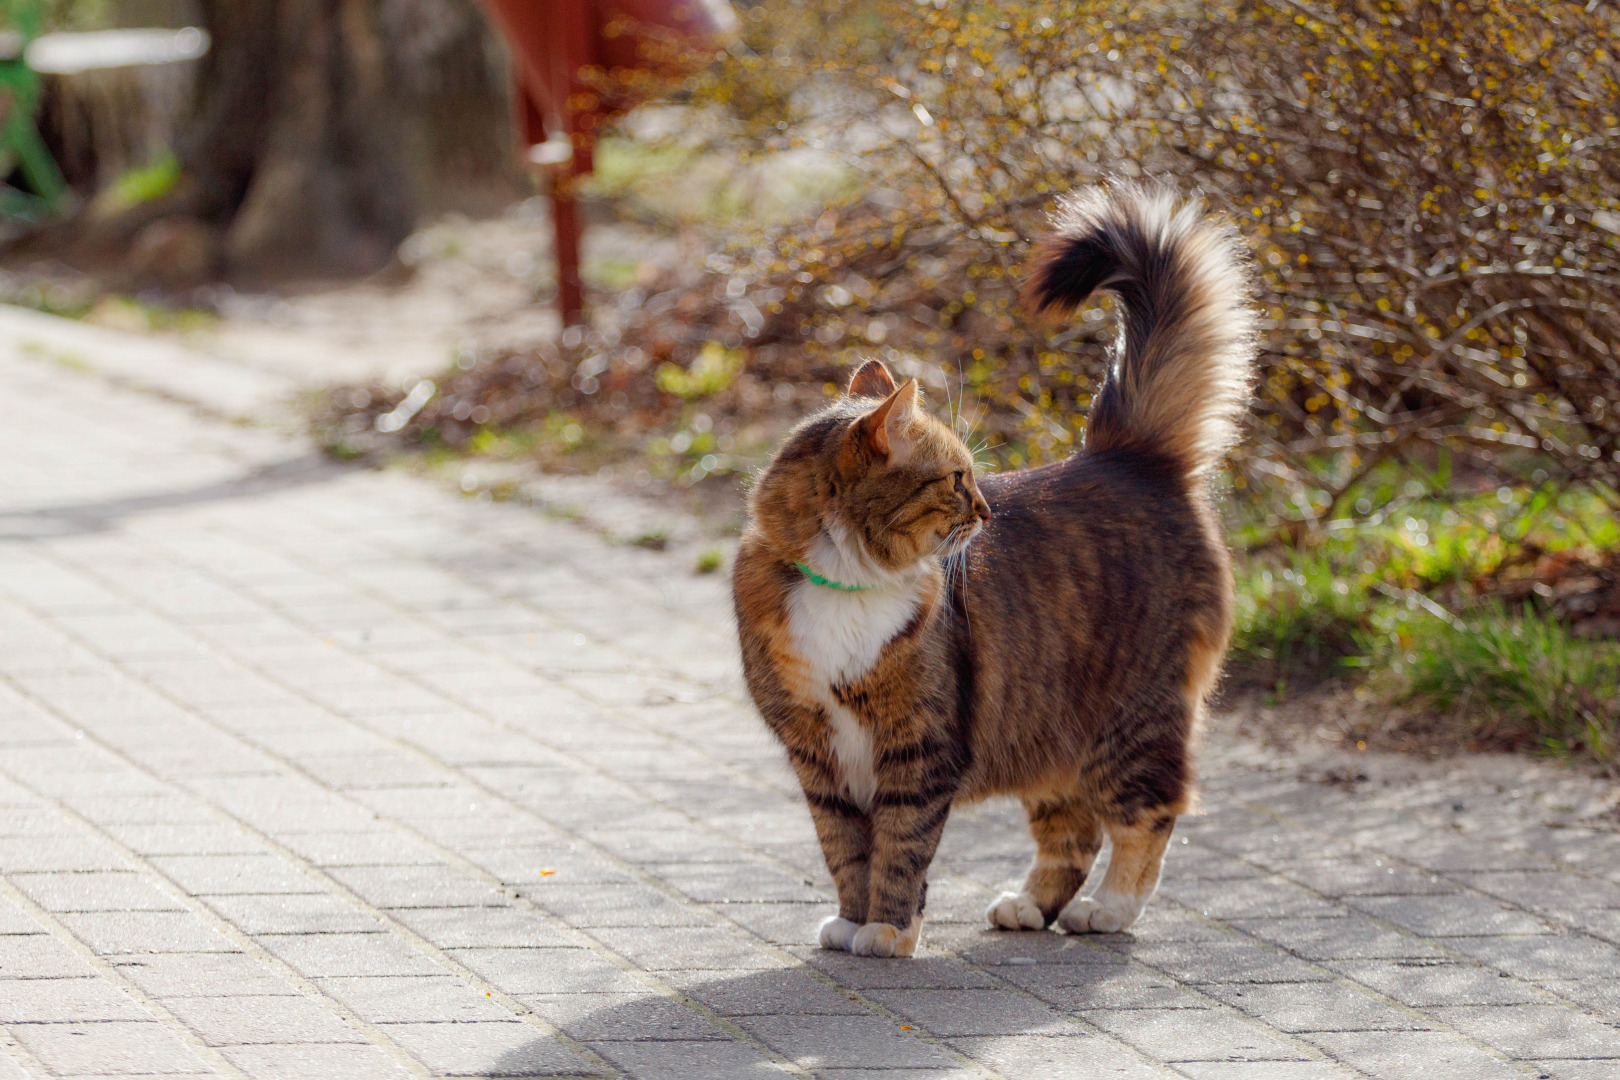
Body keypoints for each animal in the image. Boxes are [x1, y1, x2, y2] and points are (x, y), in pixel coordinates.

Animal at [732, 183, 1250, 952]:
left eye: (974, 476)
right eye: (955, 480)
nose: (985, 510)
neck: (849, 585)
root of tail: (1122, 453)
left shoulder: (918, 746)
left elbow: (900, 847)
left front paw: (886, 931)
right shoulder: (817, 754)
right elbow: (845, 850)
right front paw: (853, 921)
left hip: (1134, 719)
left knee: (1147, 817)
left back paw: (1109, 909)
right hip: (1047, 724)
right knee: (1072, 831)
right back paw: (1030, 906)